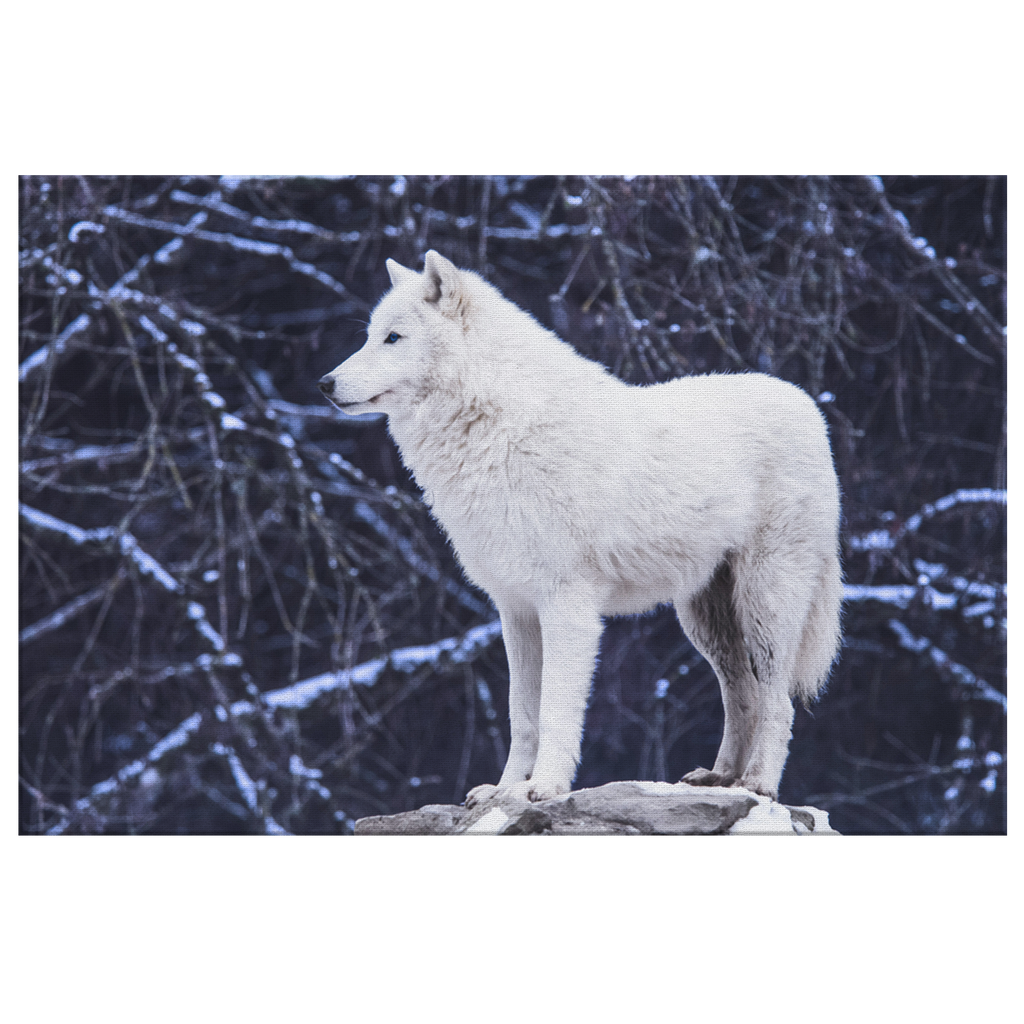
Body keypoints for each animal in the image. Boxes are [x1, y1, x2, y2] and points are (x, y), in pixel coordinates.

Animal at [319, 251, 842, 804]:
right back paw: (720, 778)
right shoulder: (515, 609)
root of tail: (805, 402)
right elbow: (522, 714)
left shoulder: (567, 605)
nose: (324, 384)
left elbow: (554, 710)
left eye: (393, 338)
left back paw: (758, 783)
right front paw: (504, 790)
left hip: (765, 604)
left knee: (777, 700)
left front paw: (544, 787)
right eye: (370, 335)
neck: (499, 427)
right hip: (704, 618)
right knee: (741, 694)